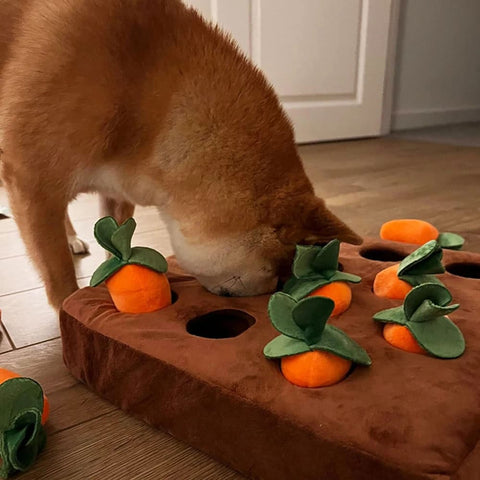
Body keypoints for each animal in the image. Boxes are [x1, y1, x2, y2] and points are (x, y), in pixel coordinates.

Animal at [0, 0, 360, 310]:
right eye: (277, 269)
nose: (278, 290)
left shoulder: (114, 191)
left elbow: (114, 245)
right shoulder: (33, 189)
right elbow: (58, 274)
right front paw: (68, 312)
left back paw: (72, 238)